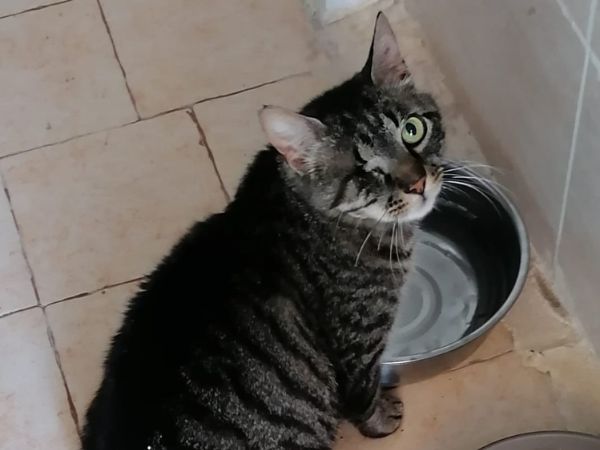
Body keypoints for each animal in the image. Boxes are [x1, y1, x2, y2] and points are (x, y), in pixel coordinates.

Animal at [81, 12, 446, 450]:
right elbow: (363, 395)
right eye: (363, 171)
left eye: (412, 130)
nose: (418, 183)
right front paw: (383, 419)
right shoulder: (359, 344)